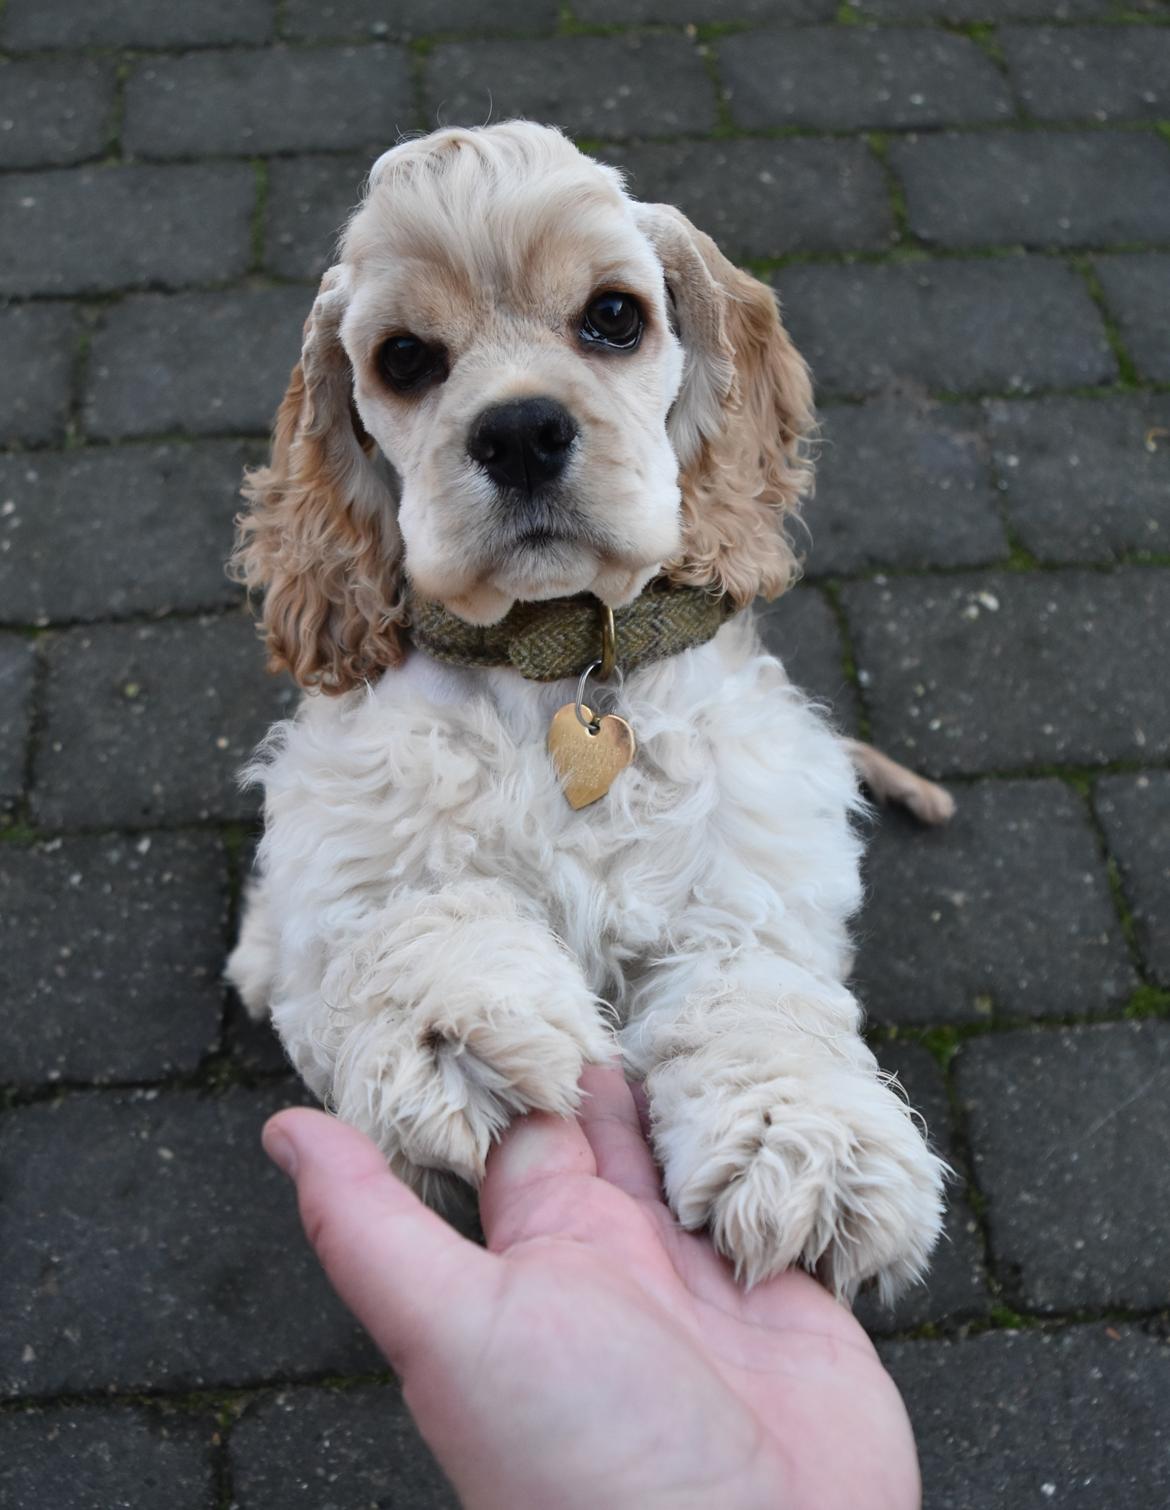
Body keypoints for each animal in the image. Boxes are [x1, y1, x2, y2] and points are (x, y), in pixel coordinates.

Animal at [229, 120, 954, 1298]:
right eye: (404, 359)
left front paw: (806, 1147)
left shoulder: (738, 880)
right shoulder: (365, 821)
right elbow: (421, 910)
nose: (521, 431)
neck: (556, 662)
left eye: (614, 315)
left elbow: (755, 997)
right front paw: (458, 1038)